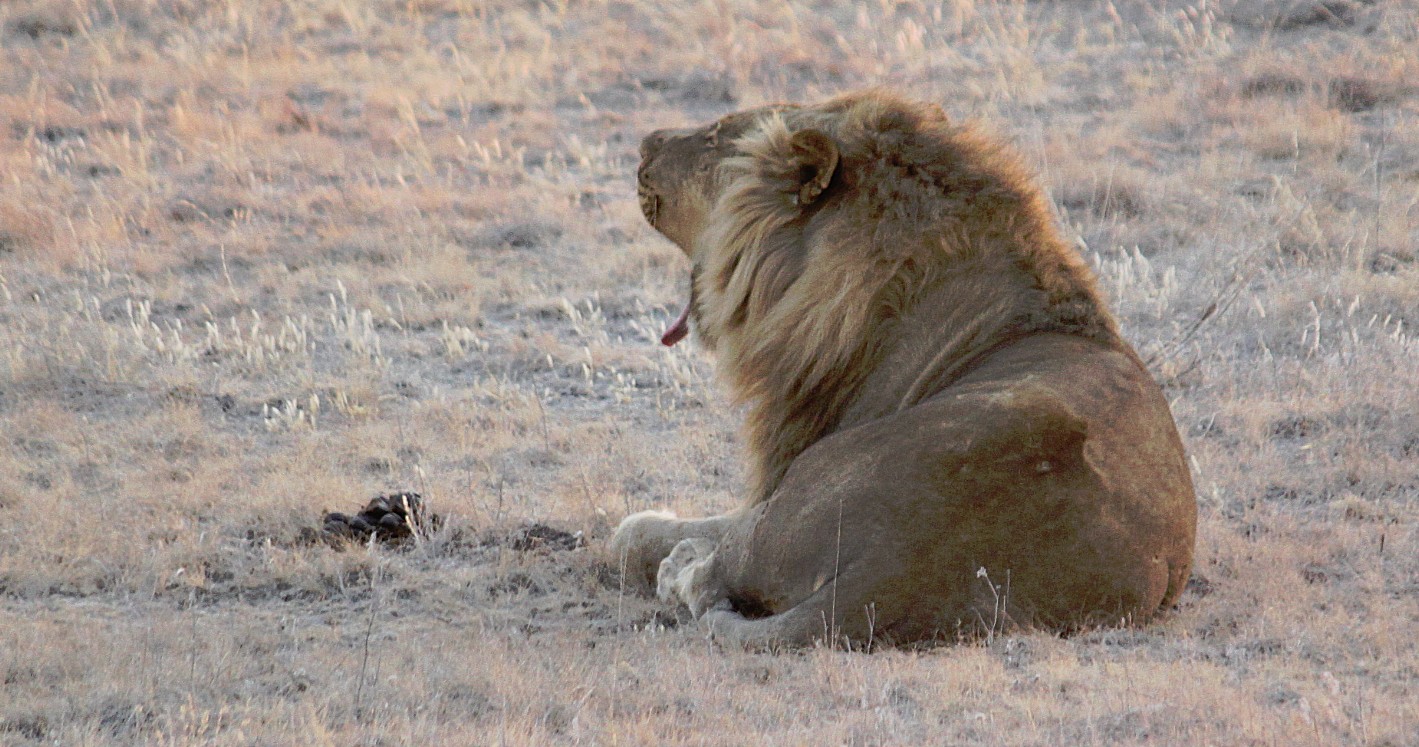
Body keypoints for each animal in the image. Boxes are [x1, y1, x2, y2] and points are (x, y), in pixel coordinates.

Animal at [613, 89, 1197, 650]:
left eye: (714, 135)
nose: (642, 144)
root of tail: (894, 570)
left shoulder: (773, 479)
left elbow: (645, 532)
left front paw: (654, 530)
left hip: (800, 490)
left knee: (716, 567)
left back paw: (679, 565)